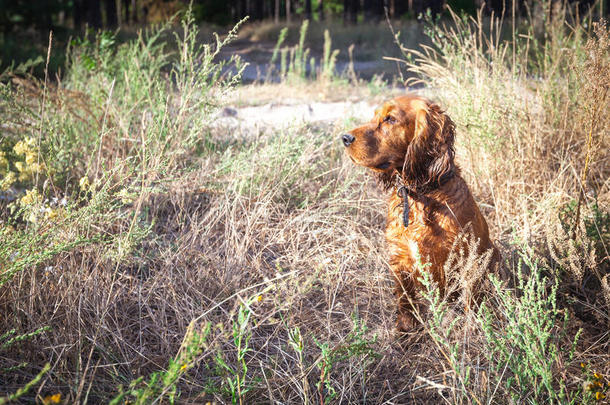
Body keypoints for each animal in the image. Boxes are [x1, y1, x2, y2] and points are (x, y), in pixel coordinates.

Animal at [340, 94, 496, 332]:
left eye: (390, 119)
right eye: (375, 116)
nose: (345, 138)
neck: (419, 195)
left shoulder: (465, 260)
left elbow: (470, 301)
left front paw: (473, 329)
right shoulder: (400, 257)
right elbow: (405, 298)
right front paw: (406, 328)